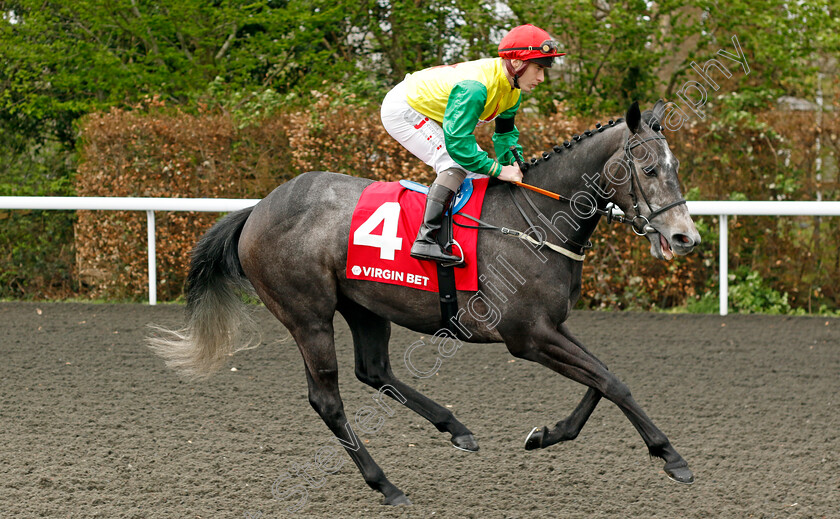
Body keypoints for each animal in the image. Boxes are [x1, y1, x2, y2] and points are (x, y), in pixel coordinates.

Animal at [148, 99, 700, 506]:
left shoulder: (552, 326)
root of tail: (257, 209)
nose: (685, 237)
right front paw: (672, 457)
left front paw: (547, 433)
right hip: (308, 316)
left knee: (374, 371)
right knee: (328, 399)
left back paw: (455, 428)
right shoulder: (527, 336)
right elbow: (610, 382)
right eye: (650, 168)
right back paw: (386, 485)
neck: (535, 220)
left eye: (676, 167)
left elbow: (604, 378)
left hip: (365, 305)